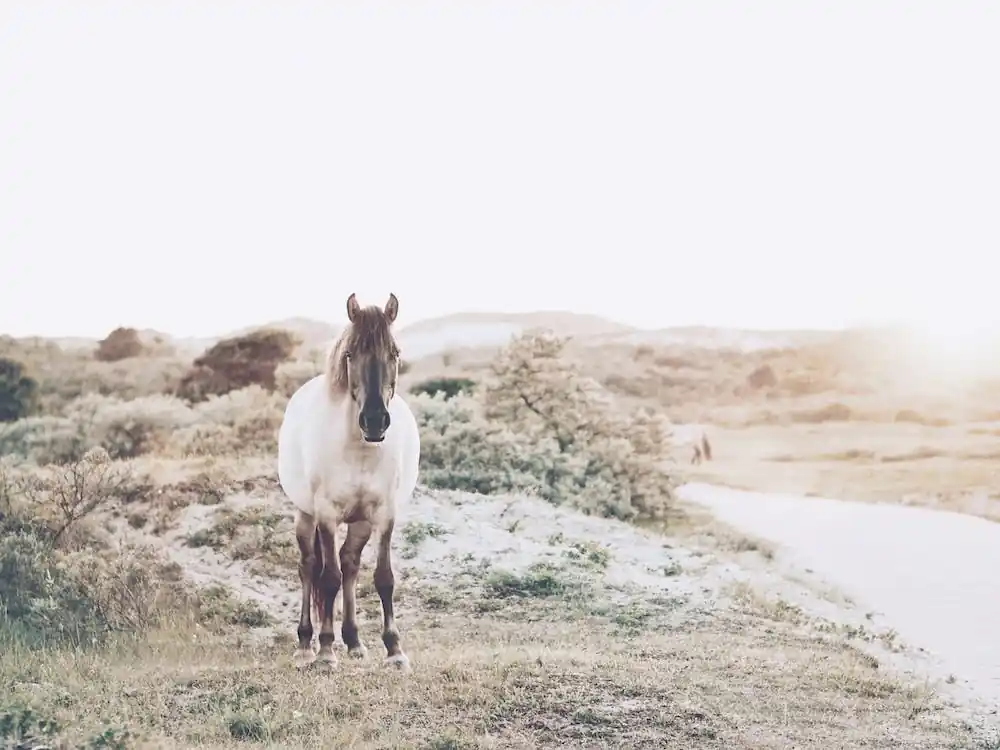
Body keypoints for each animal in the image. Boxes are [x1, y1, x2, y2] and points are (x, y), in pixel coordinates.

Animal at [277, 292, 420, 672]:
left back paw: (354, 641)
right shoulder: (326, 514)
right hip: (305, 515)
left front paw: (395, 650)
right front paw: (326, 652)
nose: (374, 420)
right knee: (310, 567)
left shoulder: (384, 514)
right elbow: (328, 579)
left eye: (394, 353)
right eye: (350, 354)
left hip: (360, 522)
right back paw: (306, 644)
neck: (360, 450)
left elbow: (383, 578)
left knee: (350, 564)